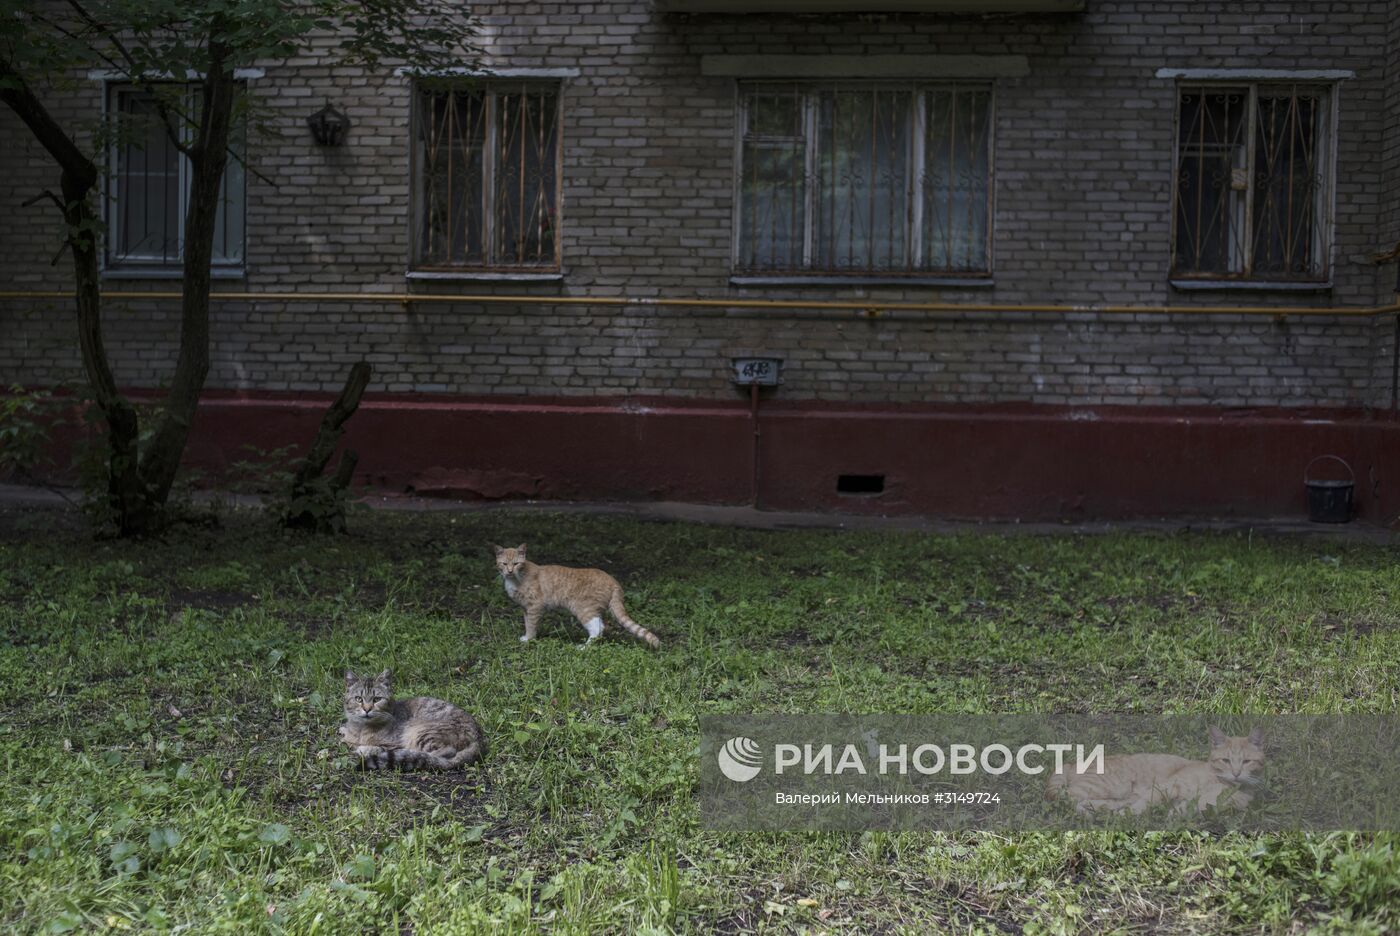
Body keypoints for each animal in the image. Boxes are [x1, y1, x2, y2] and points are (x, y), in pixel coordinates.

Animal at [340, 668, 487, 772]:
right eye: (358, 699)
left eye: (377, 699)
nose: (367, 709)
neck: (361, 729)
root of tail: (479, 740)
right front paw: (343, 731)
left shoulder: (393, 743)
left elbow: (376, 747)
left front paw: (364, 748)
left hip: (421, 732)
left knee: (441, 753)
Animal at [495, 542, 663, 646]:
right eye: (504, 564)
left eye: (516, 564)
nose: (509, 571)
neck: (516, 578)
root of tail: (613, 580)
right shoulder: (526, 609)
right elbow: (526, 622)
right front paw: (526, 637)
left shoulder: (534, 606)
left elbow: (531, 624)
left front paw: (529, 639)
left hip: (584, 609)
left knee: (597, 629)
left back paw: (583, 647)